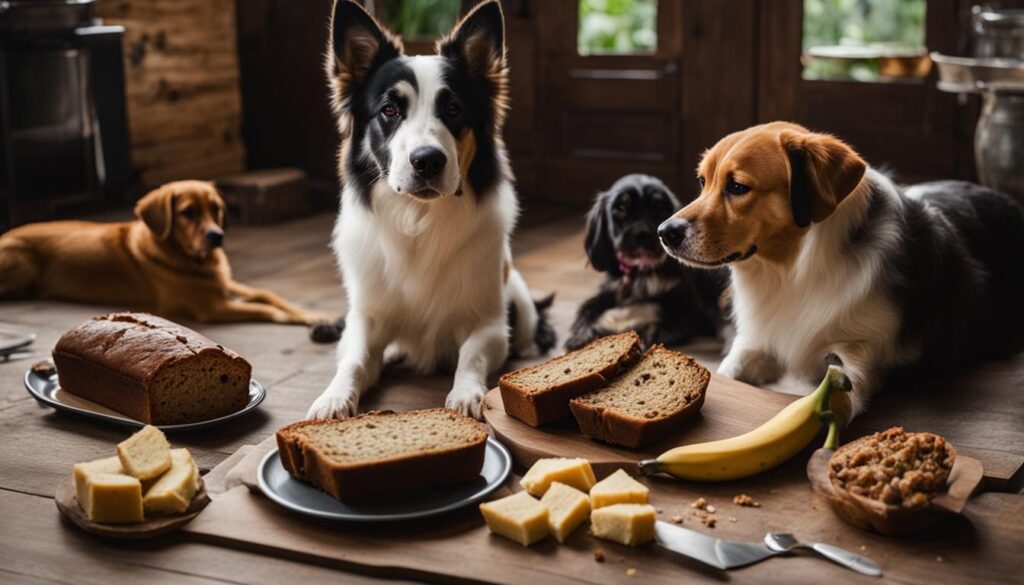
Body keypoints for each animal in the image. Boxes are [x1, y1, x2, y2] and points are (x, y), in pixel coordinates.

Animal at [0, 179, 325, 325]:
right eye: (188, 213)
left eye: (215, 209)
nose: (217, 236)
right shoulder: (214, 308)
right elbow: (268, 310)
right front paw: (309, 319)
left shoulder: (226, 283)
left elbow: (267, 294)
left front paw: (313, 312)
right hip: (23, 261)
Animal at [569, 172, 729, 350]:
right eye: (621, 208)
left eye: (659, 207)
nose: (643, 234)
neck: (641, 272)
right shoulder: (611, 291)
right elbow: (587, 307)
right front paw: (581, 335)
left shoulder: (686, 309)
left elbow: (657, 318)